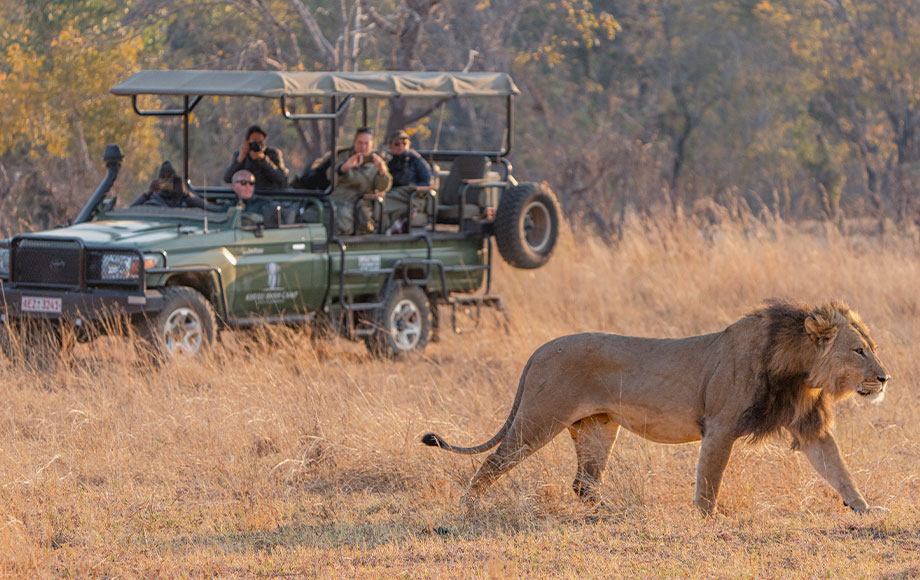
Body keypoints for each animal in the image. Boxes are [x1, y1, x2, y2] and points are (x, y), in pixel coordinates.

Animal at [422, 302, 892, 516]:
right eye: (859, 350)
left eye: (871, 348)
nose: (885, 378)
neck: (801, 370)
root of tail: (538, 350)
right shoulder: (720, 427)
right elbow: (709, 480)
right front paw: (707, 519)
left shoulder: (809, 426)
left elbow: (838, 469)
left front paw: (865, 510)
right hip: (538, 419)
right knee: (491, 465)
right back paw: (468, 507)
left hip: (597, 428)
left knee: (583, 484)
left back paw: (608, 515)